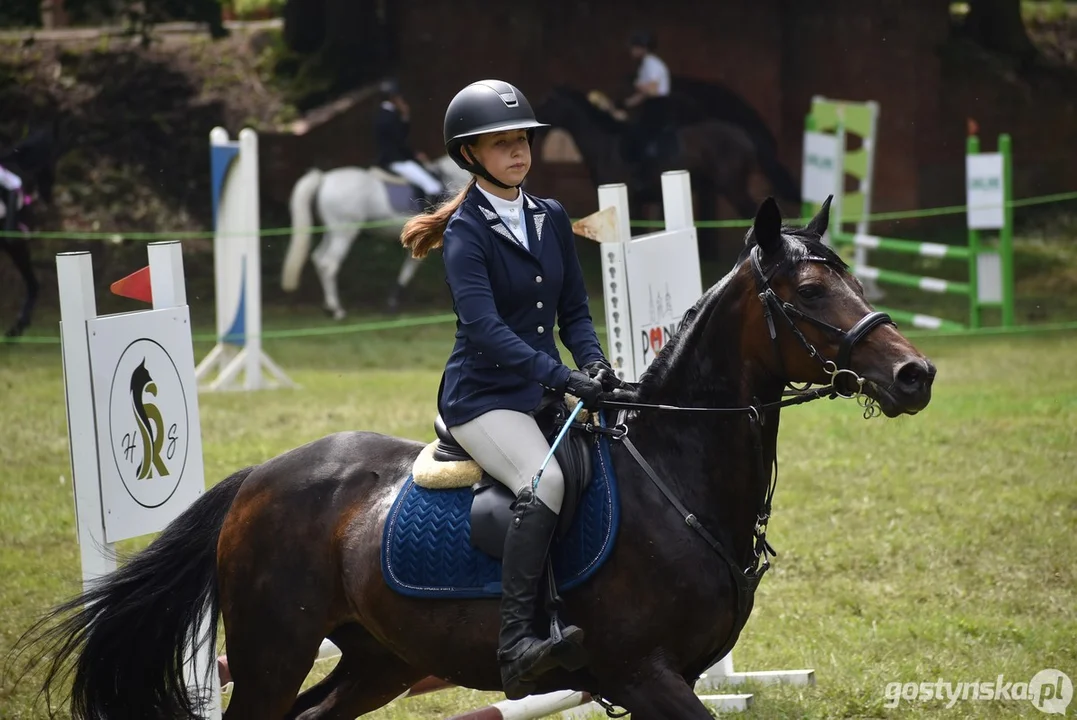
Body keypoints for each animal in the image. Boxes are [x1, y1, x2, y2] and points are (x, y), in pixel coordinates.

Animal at [12, 193, 934, 714]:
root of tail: (257, 480)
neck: (673, 479)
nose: (914, 374)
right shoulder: (643, 673)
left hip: (377, 660)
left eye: (854, 278)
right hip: (273, 653)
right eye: (808, 290)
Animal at [282, 154, 471, 316]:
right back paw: (337, 310)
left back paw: (328, 307)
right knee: (329, 263)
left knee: (318, 258)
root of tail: (325, 178)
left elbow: (410, 267)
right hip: (345, 231)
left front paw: (392, 302)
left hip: (332, 231)